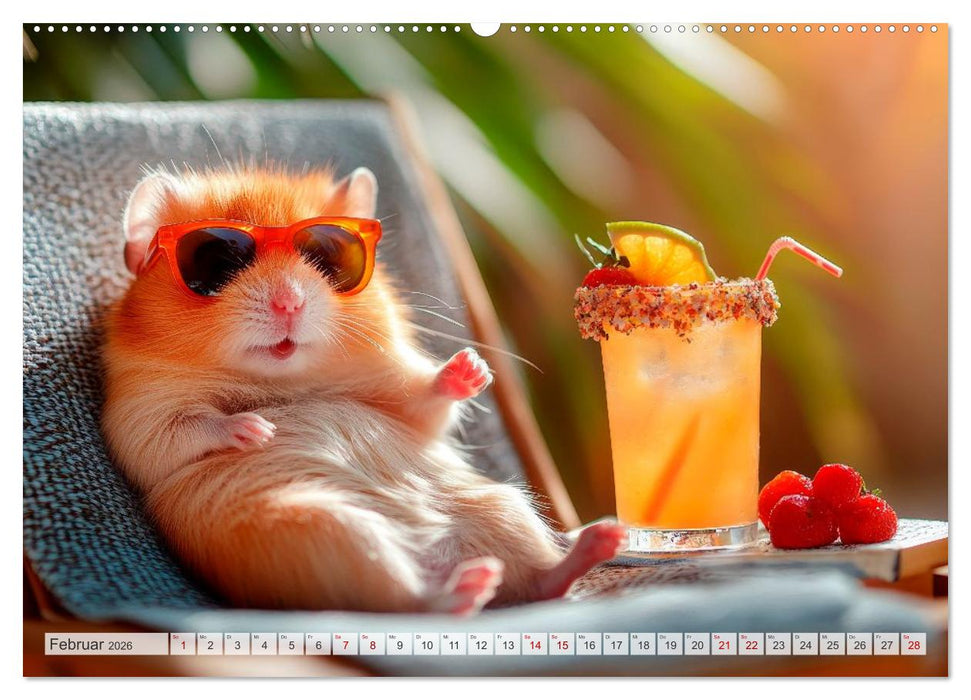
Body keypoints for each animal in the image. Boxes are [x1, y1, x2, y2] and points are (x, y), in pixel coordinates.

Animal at [101, 165, 625, 613]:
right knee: (410, 601)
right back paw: (467, 588)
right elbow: (180, 432)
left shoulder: (394, 392)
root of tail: (438, 556)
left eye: (325, 258)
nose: (289, 303)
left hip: (501, 508)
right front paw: (256, 428)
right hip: (326, 532)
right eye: (218, 260)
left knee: (540, 582)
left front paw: (471, 369)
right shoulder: (136, 414)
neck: (285, 381)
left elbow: (428, 407)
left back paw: (596, 542)